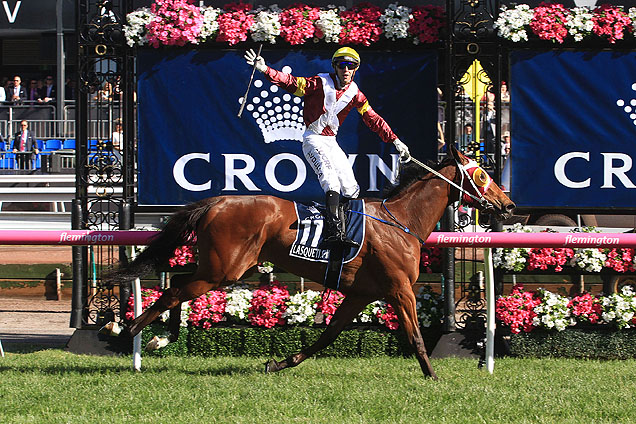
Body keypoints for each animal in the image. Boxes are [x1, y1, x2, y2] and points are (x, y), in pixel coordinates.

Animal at [104, 146, 512, 378]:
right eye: (481, 175)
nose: (507, 204)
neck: (401, 222)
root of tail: (217, 201)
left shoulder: (361, 293)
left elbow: (327, 336)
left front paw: (278, 363)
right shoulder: (399, 289)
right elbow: (415, 336)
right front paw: (433, 376)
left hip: (220, 267)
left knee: (176, 286)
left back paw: (161, 336)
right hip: (224, 269)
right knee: (175, 291)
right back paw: (130, 332)